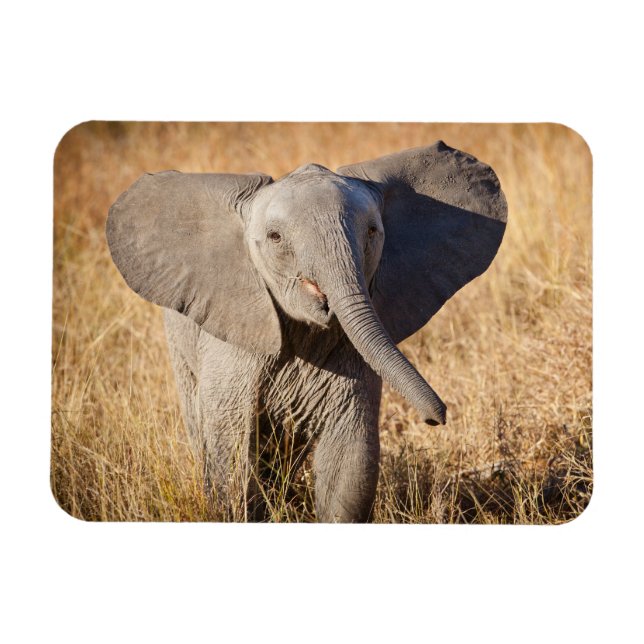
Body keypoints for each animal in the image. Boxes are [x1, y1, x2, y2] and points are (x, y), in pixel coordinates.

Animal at [106, 141, 507, 522]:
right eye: (275, 237)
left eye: (372, 231)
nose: (436, 417)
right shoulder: (232, 345)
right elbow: (232, 457)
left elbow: (349, 464)